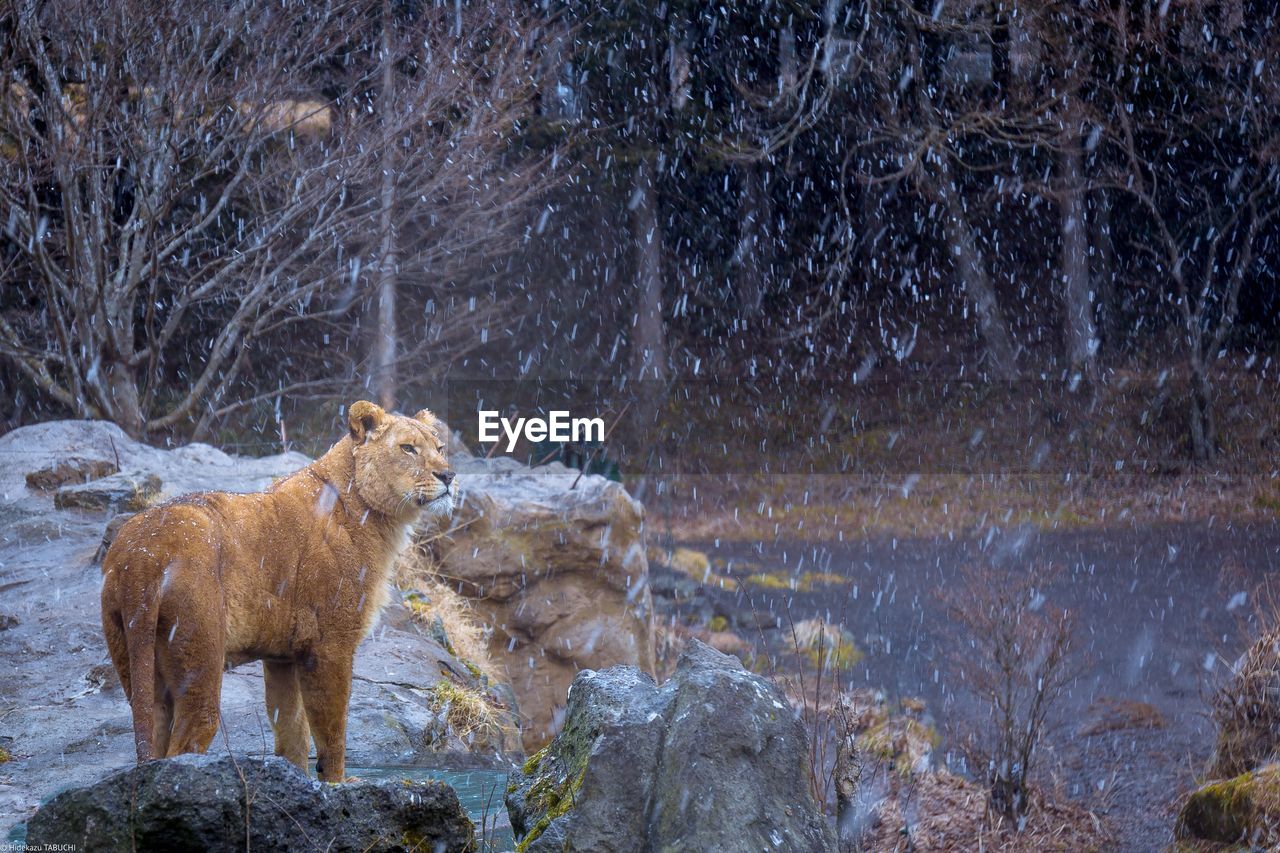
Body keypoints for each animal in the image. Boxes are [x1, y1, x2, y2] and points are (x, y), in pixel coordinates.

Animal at [102, 402, 458, 778]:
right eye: (408, 449)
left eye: (440, 448)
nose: (449, 476)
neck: (372, 515)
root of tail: (142, 555)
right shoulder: (330, 645)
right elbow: (332, 733)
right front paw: (339, 782)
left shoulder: (283, 656)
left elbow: (292, 732)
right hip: (198, 653)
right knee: (188, 739)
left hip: (132, 656)